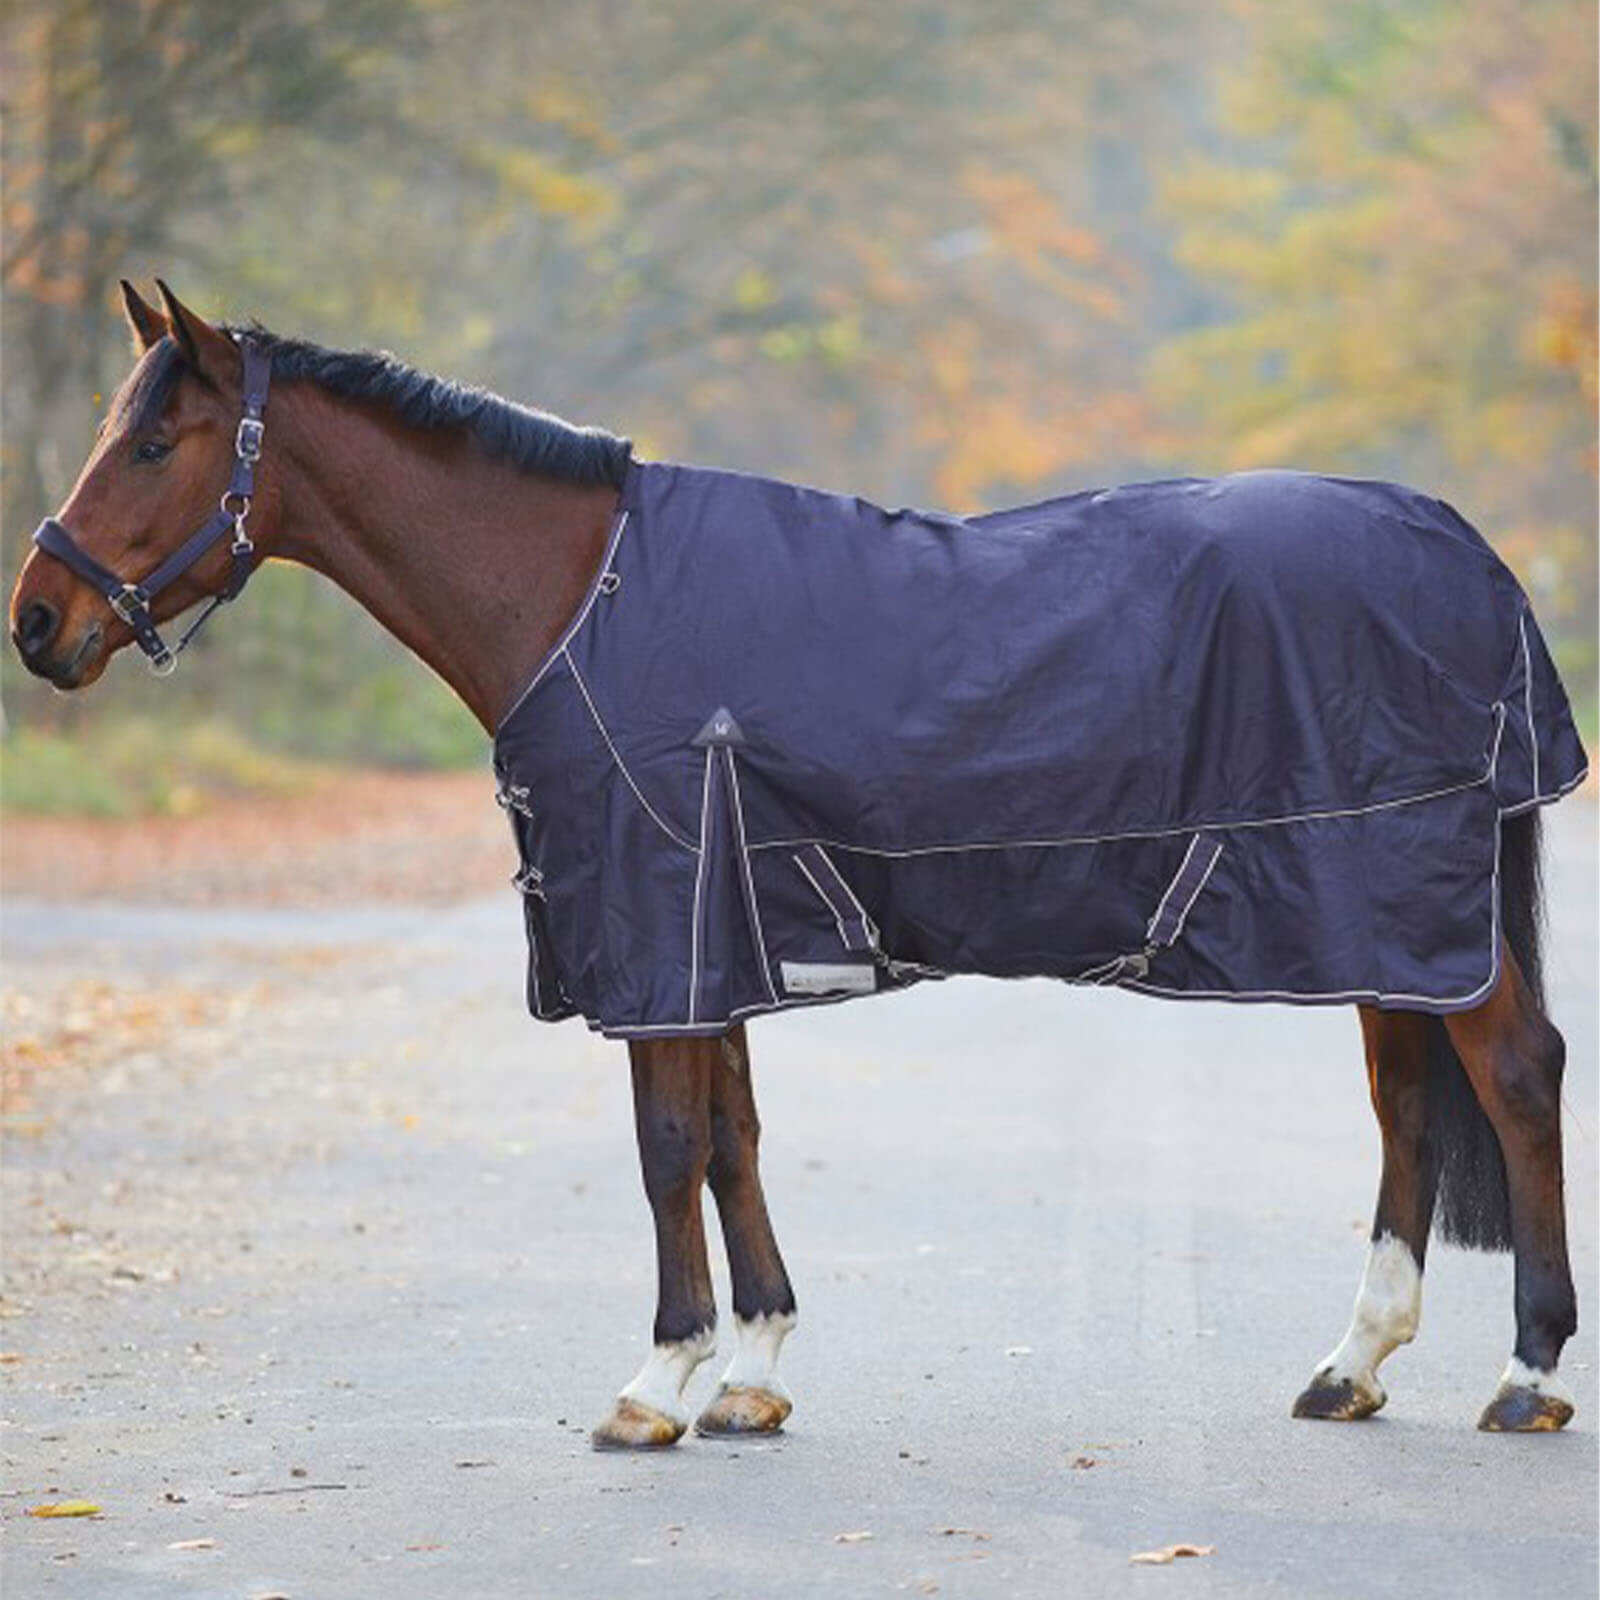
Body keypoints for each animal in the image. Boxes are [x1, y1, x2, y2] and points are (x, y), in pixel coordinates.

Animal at [10, 280, 1588, 1446]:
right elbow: (733, 1136)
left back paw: (1528, 1375)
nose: (36, 621)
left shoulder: (662, 929)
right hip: (1381, 920)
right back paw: (1351, 1365)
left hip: (1403, 904)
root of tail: (1471, 557)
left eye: (153, 444)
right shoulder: (718, 935)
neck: (587, 599)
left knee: (1513, 1078)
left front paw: (657, 1383)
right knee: (1405, 1106)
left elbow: (665, 1145)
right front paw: (753, 1374)